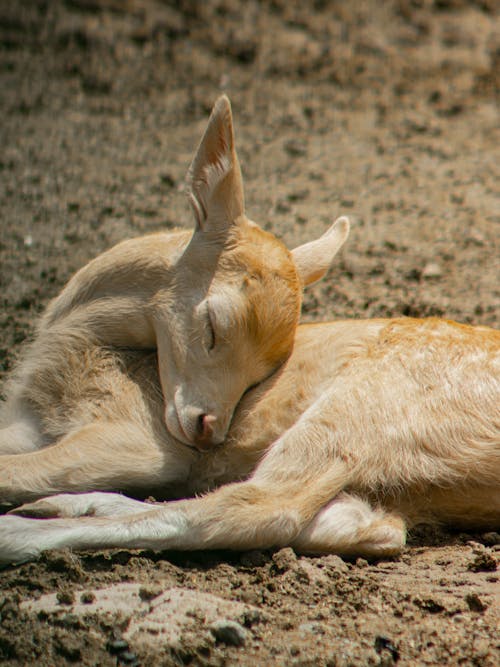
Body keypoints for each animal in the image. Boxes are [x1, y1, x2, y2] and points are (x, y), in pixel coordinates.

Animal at [0, 98, 500, 564]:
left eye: (266, 370)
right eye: (212, 327)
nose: (208, 431)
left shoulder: (141, 437)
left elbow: (21, 469)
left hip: (364, 411)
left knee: (258, 510)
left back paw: (18, 531)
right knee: (364, 525)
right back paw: (60, 507)